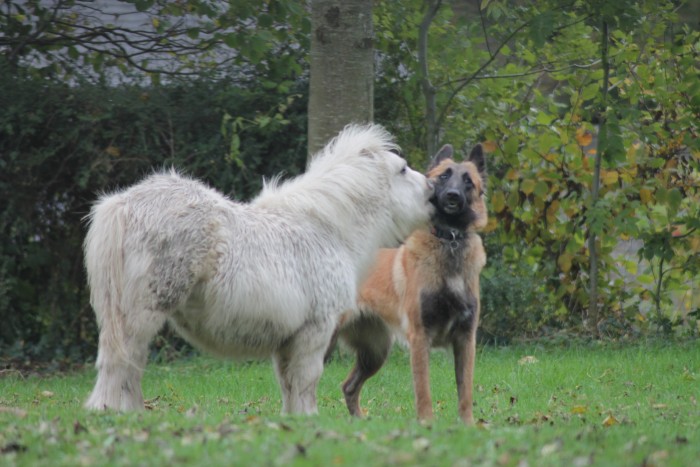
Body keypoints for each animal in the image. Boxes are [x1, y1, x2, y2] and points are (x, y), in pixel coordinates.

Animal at [82, 124, 432, 414]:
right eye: (402, 169)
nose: (432, 188)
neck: (326, 228)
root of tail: (122, 205)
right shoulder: (315, 332)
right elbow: (306, 382)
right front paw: (309, 419)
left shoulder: (289, 340)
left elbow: (289, 385)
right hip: (141, 314)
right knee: (121, 361)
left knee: (130, 364)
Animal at [332, 144, 486, 426]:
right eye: (444, 176)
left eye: (468, 181)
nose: (452, 196)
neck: (449, 241)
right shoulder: (420, 336)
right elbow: (423, 389)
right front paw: (426, 423)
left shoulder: (466, 339)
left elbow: (465, 390)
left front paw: (467, 425)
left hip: (375, 353)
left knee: (348, 386)